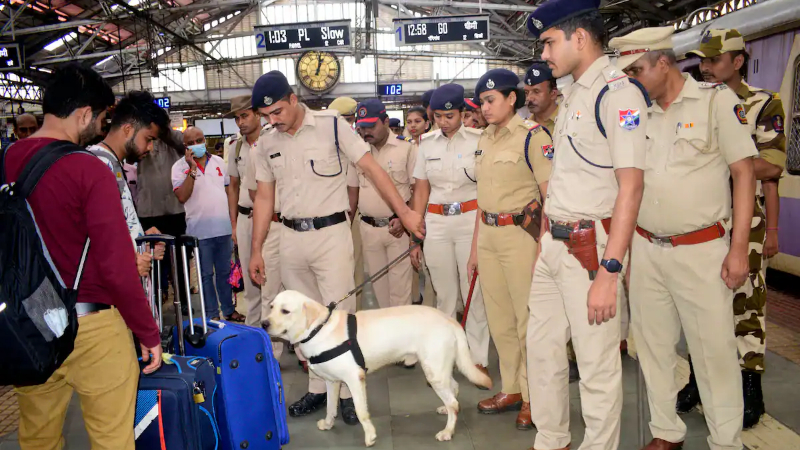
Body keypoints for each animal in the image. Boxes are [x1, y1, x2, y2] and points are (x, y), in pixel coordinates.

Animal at [262, 290, 490, 448]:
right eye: (271, 306)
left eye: (285, 311)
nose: (263, 323)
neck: (317, 329)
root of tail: (450, 320)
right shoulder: (332, 381)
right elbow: (330, 408)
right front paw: (327, 424)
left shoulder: (355, 378)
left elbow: (361, 411)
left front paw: (370, 435)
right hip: (439, 369)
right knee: (454, 390)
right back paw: (445, 410)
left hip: (433, 371)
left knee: (454, 403)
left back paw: (447, 432)